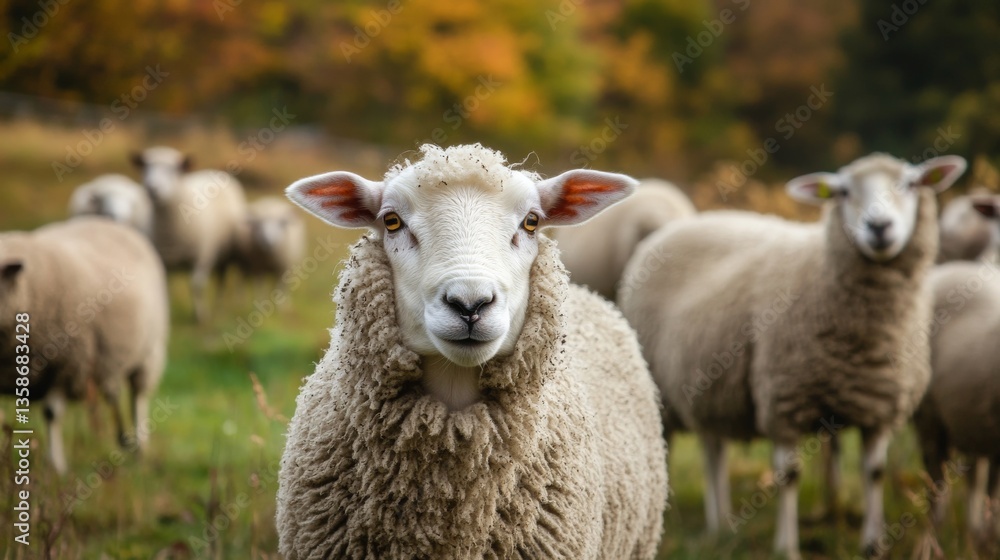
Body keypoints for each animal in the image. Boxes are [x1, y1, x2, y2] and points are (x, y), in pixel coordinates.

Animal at [0, 218, 169, 475]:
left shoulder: (66, 363)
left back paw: (140, 448)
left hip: (149, 352)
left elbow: (52, 413)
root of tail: (108, 222)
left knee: (138, 398)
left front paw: (56, 467)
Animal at [130, 146, 249, 322]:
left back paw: (219, 306)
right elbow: (166, 288)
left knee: (222, 279)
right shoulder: (164, 260)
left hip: (226, 252)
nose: (152, 189)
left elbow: (196, 286)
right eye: (145, 166)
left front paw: (200, 316)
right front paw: (168, 313)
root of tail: (213, 170)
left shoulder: (202, 257)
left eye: (173, 169)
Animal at [619, 153, 967, 559]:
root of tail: (688, 222)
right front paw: (787, 546)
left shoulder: (879, 406)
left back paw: (720, 525)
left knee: (713, 450)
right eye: (843, 192)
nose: (879, 227)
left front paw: (873, 543)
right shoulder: (783, 399)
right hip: (661, 389)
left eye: (911, 184)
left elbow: (875, 472)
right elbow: (789, 476)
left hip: (709, 388)